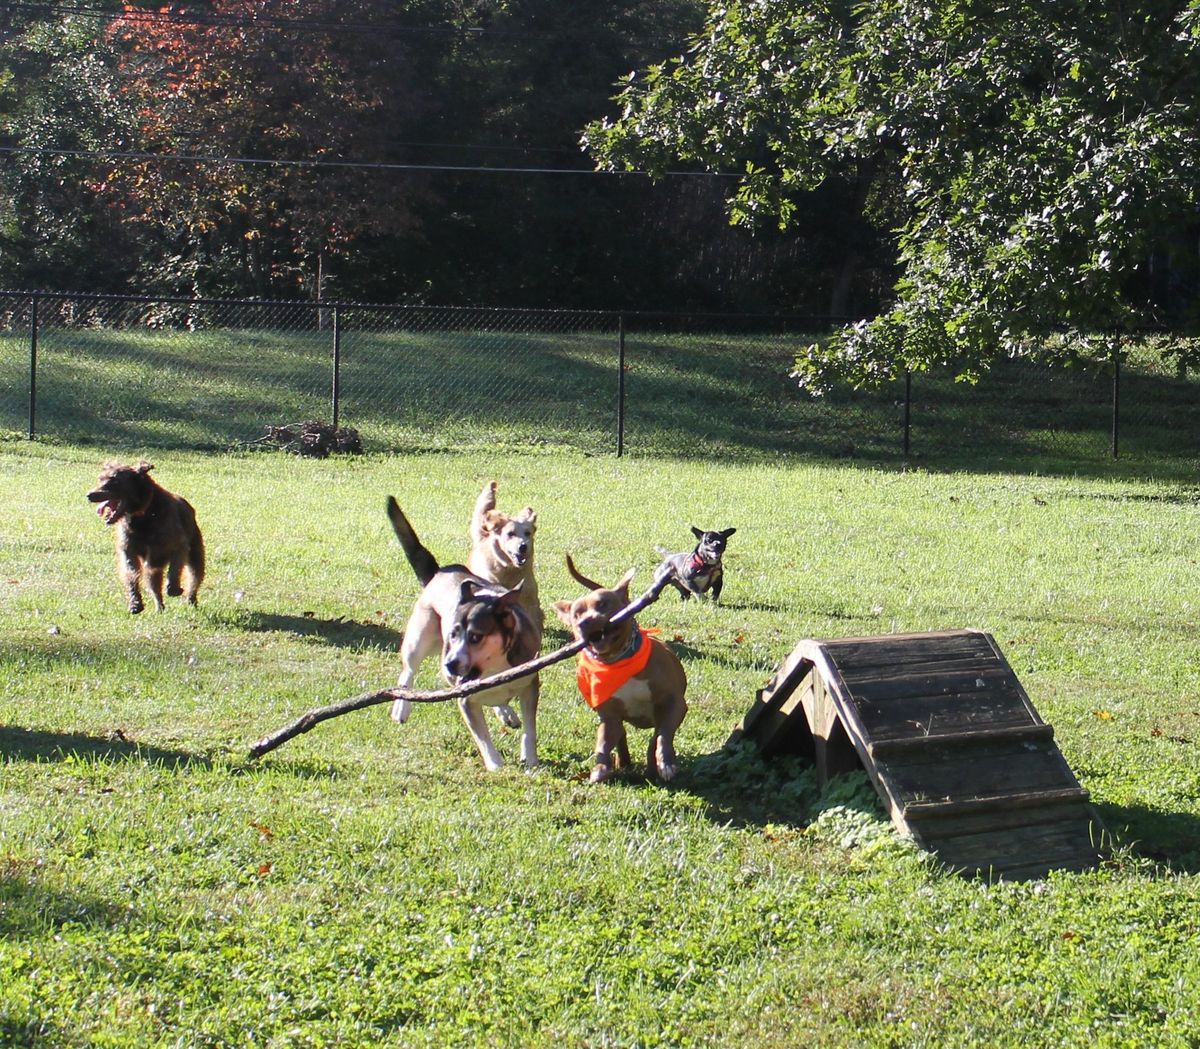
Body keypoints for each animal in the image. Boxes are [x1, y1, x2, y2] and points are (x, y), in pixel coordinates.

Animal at [87, 460, 205, 612]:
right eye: (101, 478)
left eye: (115, 481)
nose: (90, 495)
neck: (144, 514)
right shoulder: (129, 551)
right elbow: (131, 574)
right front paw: (135, 602)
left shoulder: (179, 546)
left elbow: (175, 569)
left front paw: (173, 588)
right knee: (154, 584)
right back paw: (160, 607)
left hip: (195, 553)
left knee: (194, 576)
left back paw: (191, 599)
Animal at [386, 489, 542, 768]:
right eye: (452, 634)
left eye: (476, 637)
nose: (450, 663)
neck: (495, 667)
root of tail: (440, 572)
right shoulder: (466, 697)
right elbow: (482, 737)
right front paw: (496, 766)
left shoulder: (530, 684)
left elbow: (530, 728)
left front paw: (531, 761)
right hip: (420, 637)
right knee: (408, 671)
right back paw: (401, 708)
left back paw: (506, 712)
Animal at [549, 552, 686, 782]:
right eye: (577, 614)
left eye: (603, 604)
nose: (584, 622)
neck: (618, 661)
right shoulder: (610, 716)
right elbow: (603, 743)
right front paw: (600, 767)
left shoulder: (674, 704)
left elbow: (662, 735)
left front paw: (665, 762)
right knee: (620, 736)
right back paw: (623, 761)